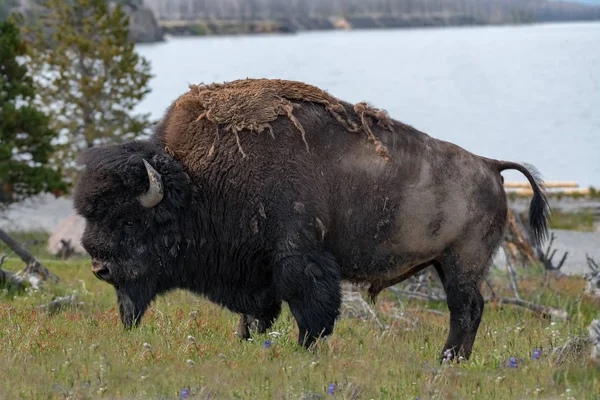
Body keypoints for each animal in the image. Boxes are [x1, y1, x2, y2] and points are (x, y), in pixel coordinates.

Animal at [74, 79, 548, 362]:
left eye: (130, 222)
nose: (99, 267)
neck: (199, 183)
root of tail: (490, 166)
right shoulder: (258, 273)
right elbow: (256, 315)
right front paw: (247, 341)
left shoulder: (299, 259)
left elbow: (311, 310)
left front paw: (305, 351)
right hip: (448, 264)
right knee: (471, 309)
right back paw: (454, 361)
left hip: (461, 262)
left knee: (465, 309)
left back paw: (447, 360)